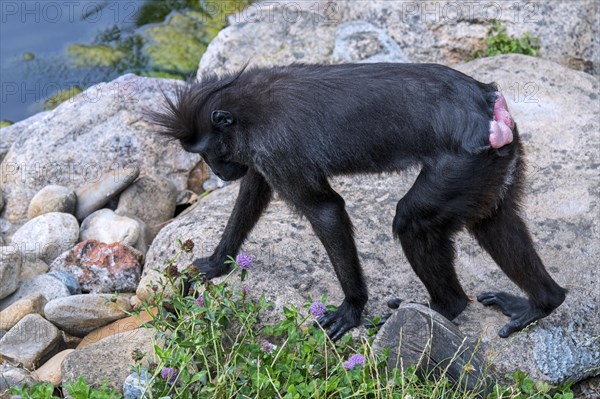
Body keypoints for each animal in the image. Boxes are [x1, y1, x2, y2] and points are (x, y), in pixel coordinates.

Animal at [148, 62, 564, 340]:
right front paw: (217, 263)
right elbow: (253, 190)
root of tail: (488, 108)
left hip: (462, 164)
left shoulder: (275, 149)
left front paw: (351, 309)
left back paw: (442, 307)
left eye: (206, 151)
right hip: (491, 165)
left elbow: (326, 211)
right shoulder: (262, 155)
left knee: (412, 223)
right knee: (492, 220)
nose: (218, 171)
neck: (246, 105)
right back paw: (542, 303)